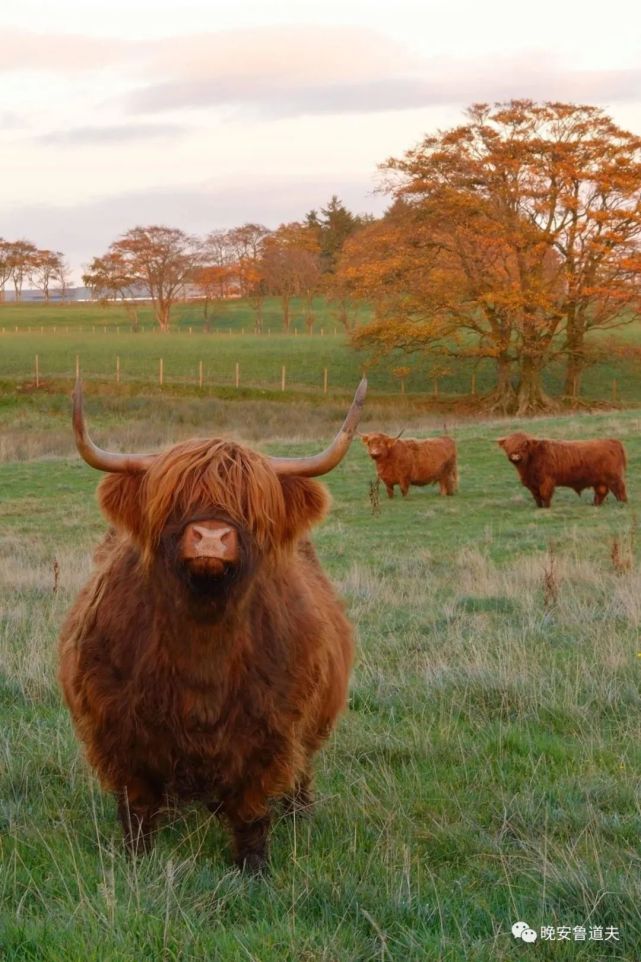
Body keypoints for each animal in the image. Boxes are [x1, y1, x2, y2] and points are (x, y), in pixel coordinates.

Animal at [61, 376, 370, 872]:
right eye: (173, 501)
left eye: (250, 506)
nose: (210, 537)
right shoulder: (118, 730)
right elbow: (137, 807)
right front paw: (136, 859)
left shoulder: (271, 733)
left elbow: (251, 810)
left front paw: (254, 868)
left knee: (302, 773)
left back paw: (301, 813)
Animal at [498, 432, 628, 506]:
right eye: (508, 445)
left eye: (524, 444)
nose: (515, 455)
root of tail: (612, 441)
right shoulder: (532, 484)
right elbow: (537, 497)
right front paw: (539, 507)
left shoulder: (546, 481)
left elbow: (545, 495)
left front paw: (546, 508)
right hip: (600, 480)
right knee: (602, 491)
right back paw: (595, 504)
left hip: (614, 477)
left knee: (620, 489)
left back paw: (622, 503)